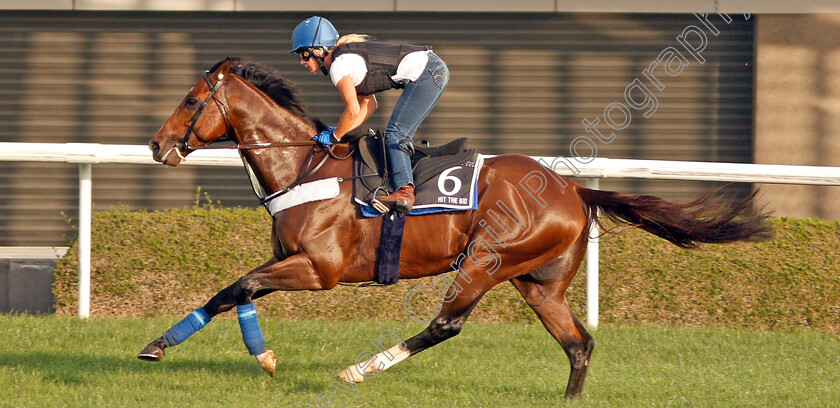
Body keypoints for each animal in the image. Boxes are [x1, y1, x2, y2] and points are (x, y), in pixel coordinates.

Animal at [141, 57, 772, 398]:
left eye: (192, 100)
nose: (156, 144)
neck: (305, 166)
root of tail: (573, 189)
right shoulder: (289, 260)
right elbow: (235, 291)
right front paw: (196, 349)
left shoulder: (319, 270)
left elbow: (239, 287)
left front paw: (188, 350)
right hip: (538, 282)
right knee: (579, 343)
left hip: (487, 260)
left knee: (447, 324)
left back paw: (359, 370)